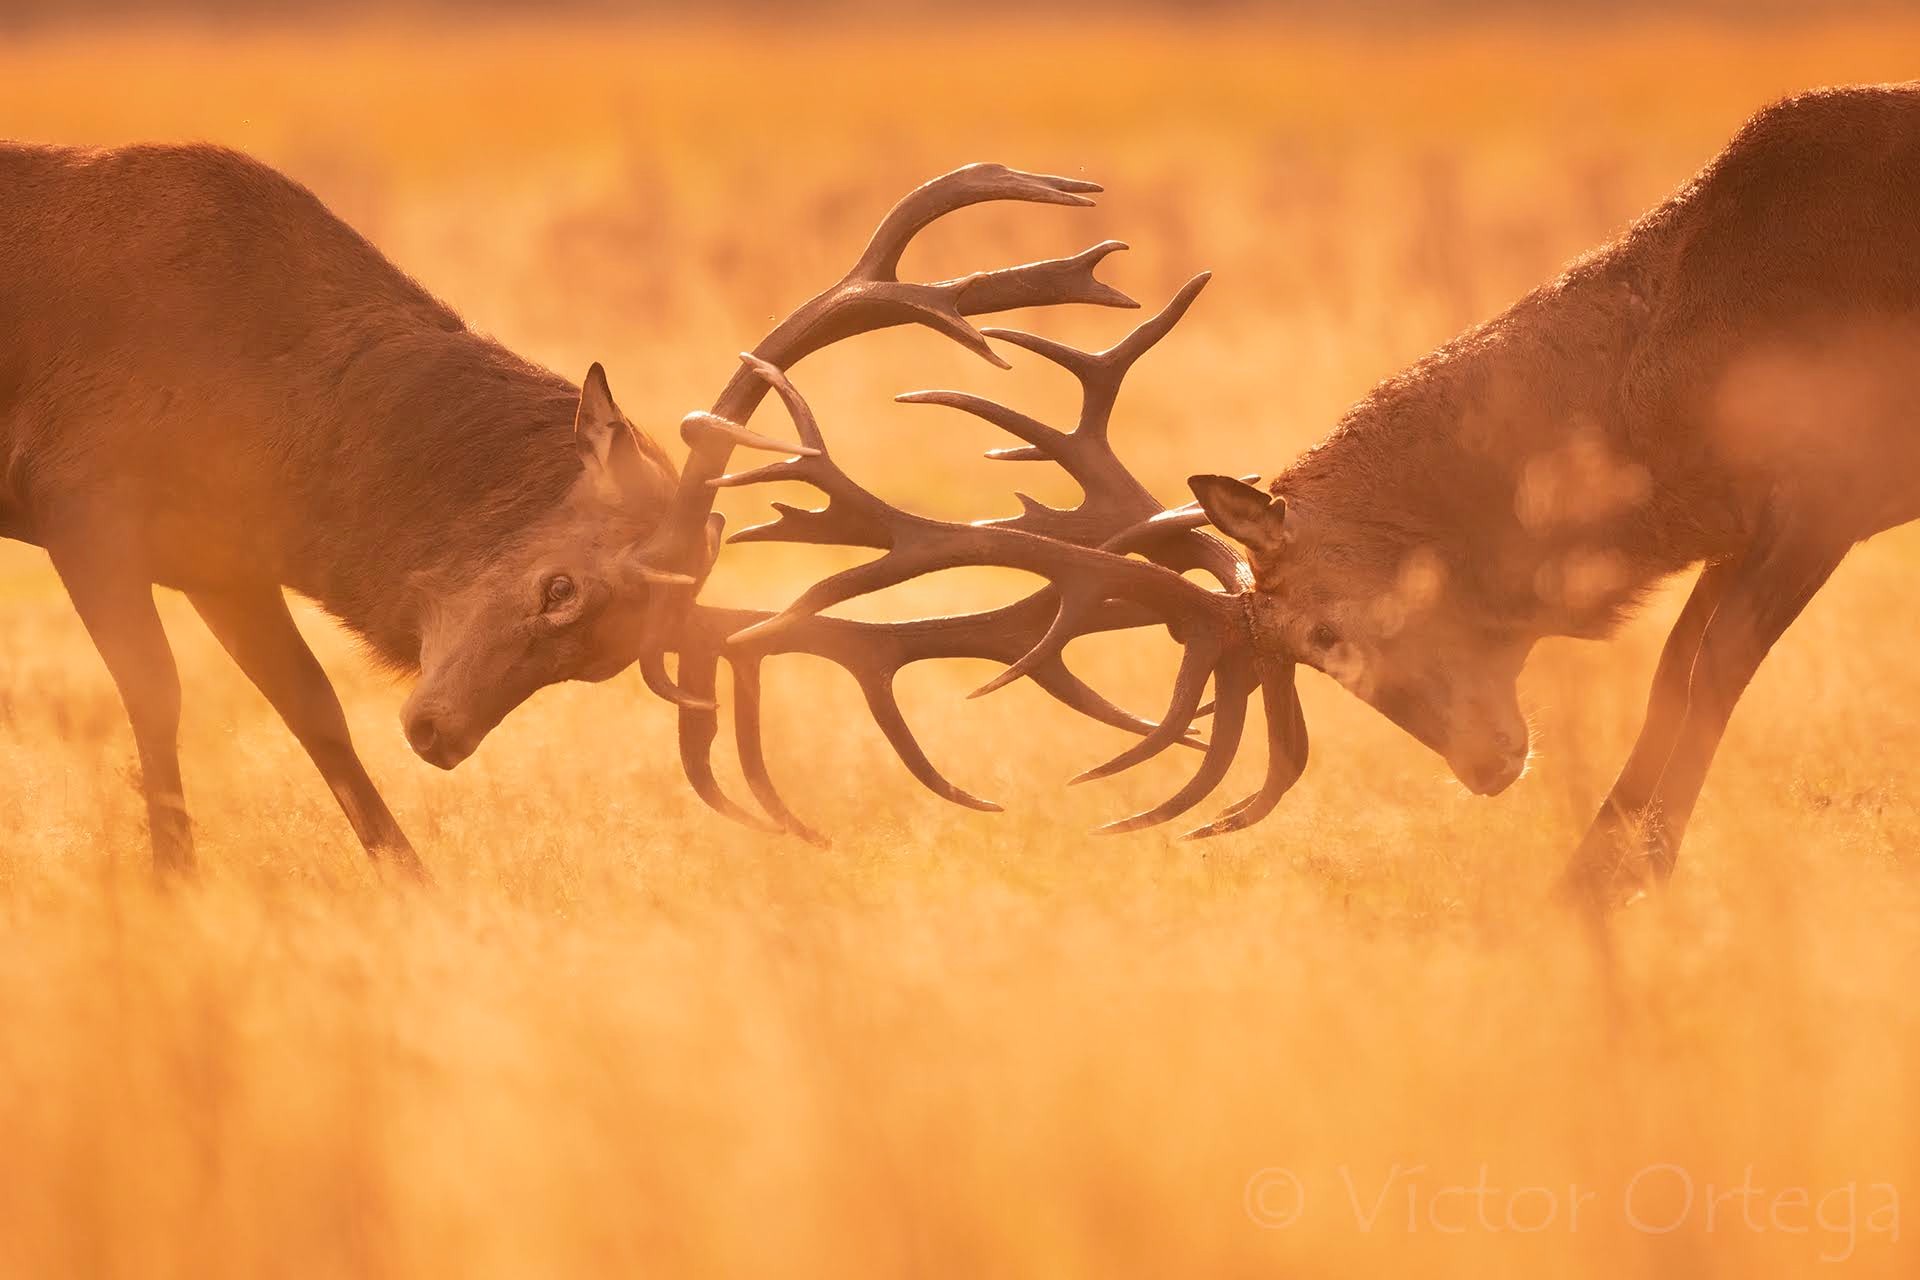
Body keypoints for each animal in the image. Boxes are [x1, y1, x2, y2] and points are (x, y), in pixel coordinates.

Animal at [0, 143, 1141, 874]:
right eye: (558, 584)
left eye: (601, 662)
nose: (439, 733)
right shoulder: (81, 497)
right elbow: (155, 696)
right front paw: (173, 880)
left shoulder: (221, 556)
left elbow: (312, 708)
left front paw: (409, 881)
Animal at [632, 83, 1920, 910]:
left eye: (1326, 628)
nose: (1487, 762)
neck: (1670, 395)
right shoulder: (1762, 522)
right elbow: (1681, 676)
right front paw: (1604, 872)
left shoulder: (1823, 486)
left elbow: (1704, 676)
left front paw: (1612, 876)